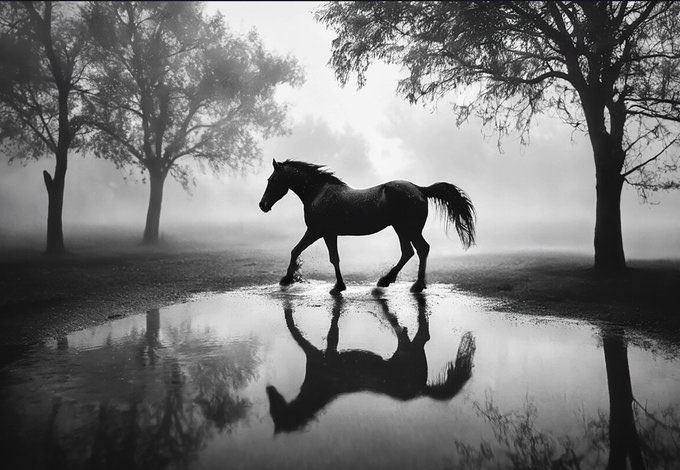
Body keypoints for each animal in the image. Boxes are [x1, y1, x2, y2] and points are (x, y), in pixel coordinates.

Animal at [259, 159, 476, 294]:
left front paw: (287, 279)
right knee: (409, 252)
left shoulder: (317, 231)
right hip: (401, 229)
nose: (262, 205)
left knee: (421, 249)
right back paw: (387, 281)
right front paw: (339, 286)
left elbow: (298, 251)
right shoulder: (329, 234)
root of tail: (420, 189)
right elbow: (332, 258)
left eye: (272, 180)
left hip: (408, 229)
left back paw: (415, 285)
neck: (318, 193)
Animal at [266, 294, 476, 433]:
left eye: (275, 412)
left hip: (407, 351)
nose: (269, 389)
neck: (320, 386)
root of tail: (421, 390)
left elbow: (299, 333)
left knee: (421, 336)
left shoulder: (317, 355)